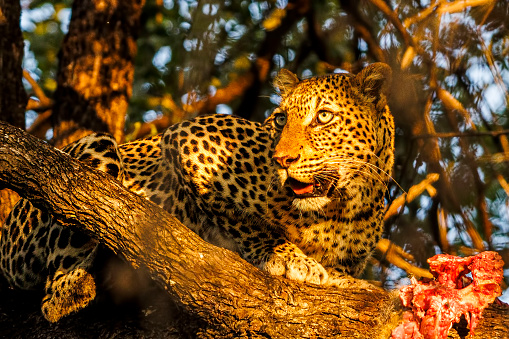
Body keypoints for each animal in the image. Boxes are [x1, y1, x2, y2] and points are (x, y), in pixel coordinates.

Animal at [0, 61, 392, 324]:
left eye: (324, 117)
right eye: (281, 120)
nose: (281, 159)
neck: (342, 207)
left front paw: (348, 282)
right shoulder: (189, 138)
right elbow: (239, 219)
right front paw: (286, 257)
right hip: (93, 150)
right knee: (56, 295)